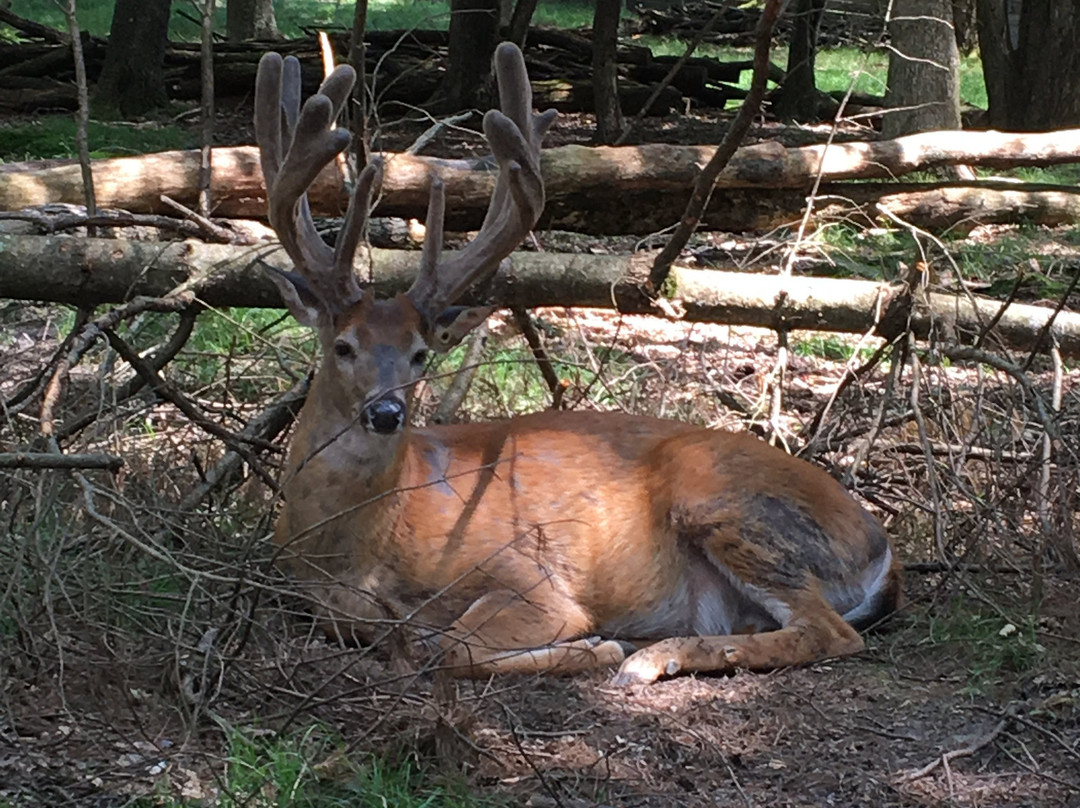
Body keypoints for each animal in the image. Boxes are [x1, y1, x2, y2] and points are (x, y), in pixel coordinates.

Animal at [254, 44, 902, 687]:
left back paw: (648, 656)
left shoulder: (532, 581)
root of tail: (881, 545)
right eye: (343, 345)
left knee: (828, 631)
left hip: (729, 504)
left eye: (420, 353)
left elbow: (454, 645)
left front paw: (594, 647)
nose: (387, 412)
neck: (356, 549)